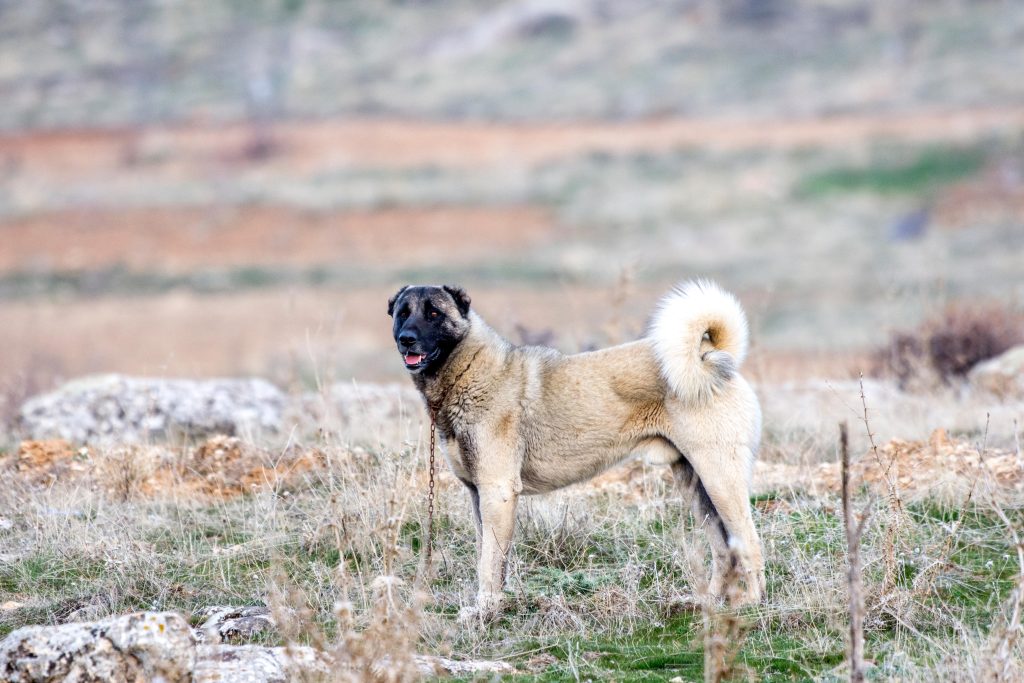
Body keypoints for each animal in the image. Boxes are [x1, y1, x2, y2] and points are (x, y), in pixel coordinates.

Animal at [387, 280, 765, 618]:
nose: (406, 339)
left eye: (434, 313)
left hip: (720, 479)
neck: (468, 370)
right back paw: (708, 603)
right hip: (695, 485)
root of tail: (710, 356)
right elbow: (490, 556)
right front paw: (491, 606)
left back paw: (752, 603)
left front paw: (484, 611)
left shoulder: (497, 492)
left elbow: (488, 562)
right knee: (724, 548)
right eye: (402, 313)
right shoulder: (478, 495)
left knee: (749, 541)